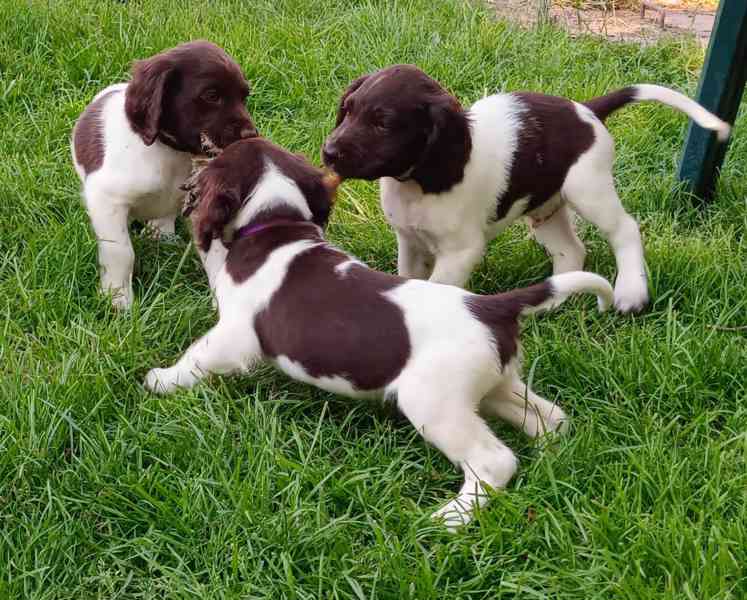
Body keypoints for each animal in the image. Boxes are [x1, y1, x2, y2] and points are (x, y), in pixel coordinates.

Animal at [71, 41, 258, 310]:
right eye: (211, 96)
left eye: (244, 97)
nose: (251, 135)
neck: (171, 153)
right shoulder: (106, 199)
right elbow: (121, 251)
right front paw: (117, 299)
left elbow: (217, 254)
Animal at [143, 135, 616, 528]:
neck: (276, 221)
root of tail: (491, 306)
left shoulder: (235, 335)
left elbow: (197, 356)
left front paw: (159, 380)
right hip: (495, 384)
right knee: (550, 418)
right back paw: (553, 458)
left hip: (434, 400)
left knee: (494, 461)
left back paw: (450, 518)